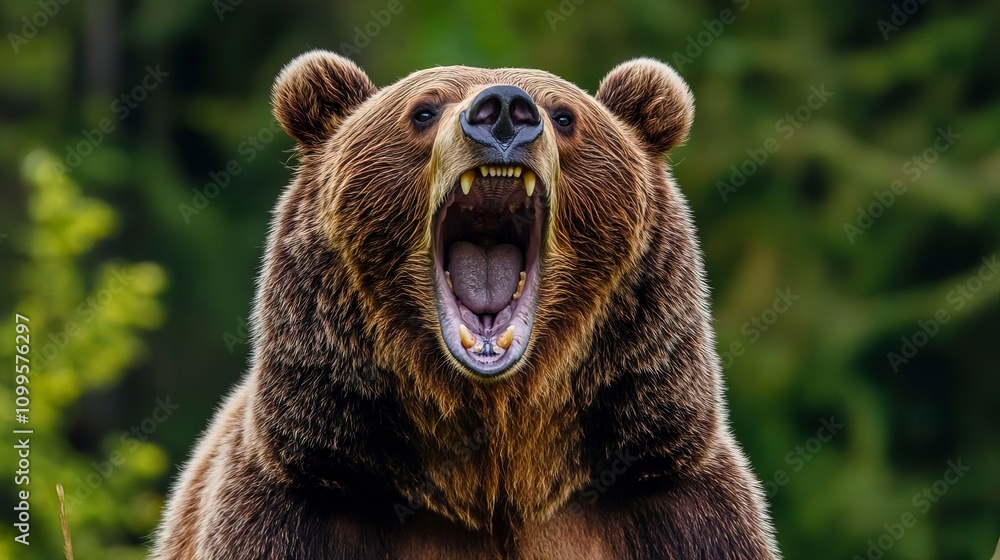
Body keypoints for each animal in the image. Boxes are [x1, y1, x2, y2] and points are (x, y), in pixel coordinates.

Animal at [152, 51, 779, 559]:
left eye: (564, 116)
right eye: (423, 111)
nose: (503, 110)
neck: (497, 480)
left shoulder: (670, 504)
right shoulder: (300, 508)